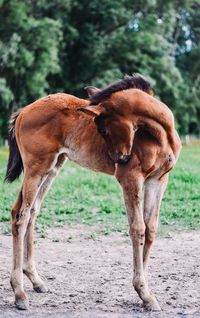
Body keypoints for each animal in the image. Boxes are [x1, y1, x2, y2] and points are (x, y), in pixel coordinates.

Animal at [5, 74, 181, 310]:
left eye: (103, 129)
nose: (119, 159)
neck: (160, 135)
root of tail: (23, 111)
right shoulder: (130, 178)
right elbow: (138, 229)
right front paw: (143, 292)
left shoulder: (159, 179)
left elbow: (151, 229)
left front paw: (145, 295)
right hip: (36, 168)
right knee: (21, 216)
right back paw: (19, 294)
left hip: (52, 168)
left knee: (31, 211)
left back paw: (36, 281)